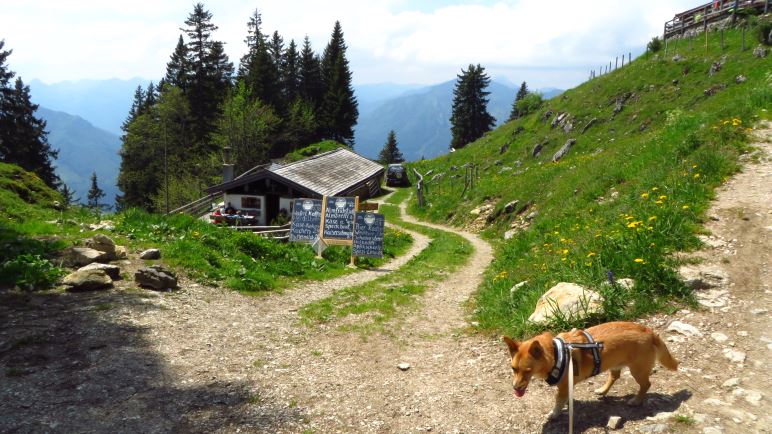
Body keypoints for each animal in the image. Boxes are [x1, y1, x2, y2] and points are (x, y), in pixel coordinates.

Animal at [500, 320, 676, 418]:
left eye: (528, 371)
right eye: (513, 369)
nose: (515, 388)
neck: (556, 353)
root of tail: (650, 332)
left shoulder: (563, 388)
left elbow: (558, 403)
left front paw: (555, 414)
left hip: (637, 370)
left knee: (646, 385)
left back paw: (636, 401)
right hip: (614, 363)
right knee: (615, 376)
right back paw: (603, 390)